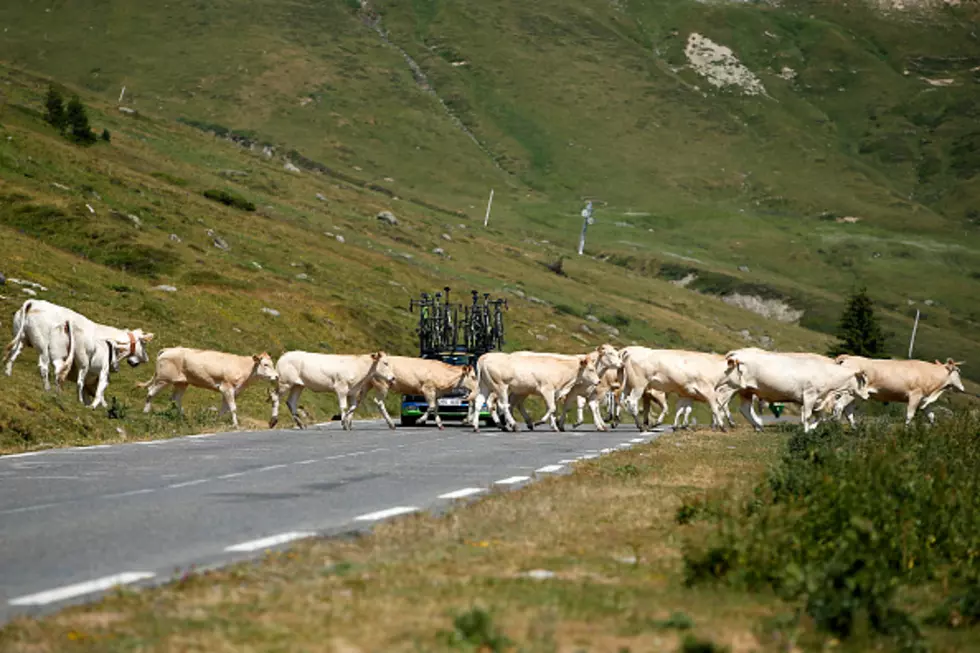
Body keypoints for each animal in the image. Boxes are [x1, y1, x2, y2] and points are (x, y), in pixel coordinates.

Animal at [3, 300, 154, 408]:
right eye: (144, 344)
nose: (146, 359)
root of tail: (32, 302)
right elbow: (97, 386)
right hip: (43, 346)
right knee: (44, 366)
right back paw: (48, 388)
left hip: (21, 338)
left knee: (13, 354)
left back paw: (8, 373)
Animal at [138, 346, 278, 428]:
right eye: (265, 364)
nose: (276, 376)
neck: (244, 369)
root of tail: (168, 349)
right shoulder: (227, 387)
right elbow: (233, 408)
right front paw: (236, 425)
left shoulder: (232, 391)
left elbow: (224, 409)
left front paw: (216, 421)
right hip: (163, 379)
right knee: (150, 392)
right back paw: (145, 413)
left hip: (181, 382)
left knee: (175, 399)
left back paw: (181, 417)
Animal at [716, 346, 868, 432]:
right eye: (864, 381)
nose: (867, 395)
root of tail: (737, 353)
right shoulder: (810, 395)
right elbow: (807, 415)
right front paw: (806, 431)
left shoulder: (818, 400)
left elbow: (820, 417)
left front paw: (811, 428)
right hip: (730, 387)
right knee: (720, 402)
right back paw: (722, 425)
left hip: (746, 390)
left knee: (744, 409)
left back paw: (758, 427)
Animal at [836, 354, 964, 426]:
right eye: (958, 371)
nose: (963, 388)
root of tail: (849, 357)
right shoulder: (915, 396)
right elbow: (910, 415)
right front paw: (905, 431)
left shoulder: (924, 400)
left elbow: (931, 416)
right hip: (849, 392)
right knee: (839, 406)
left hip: (856, 395)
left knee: (848, 410)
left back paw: (855, 429)